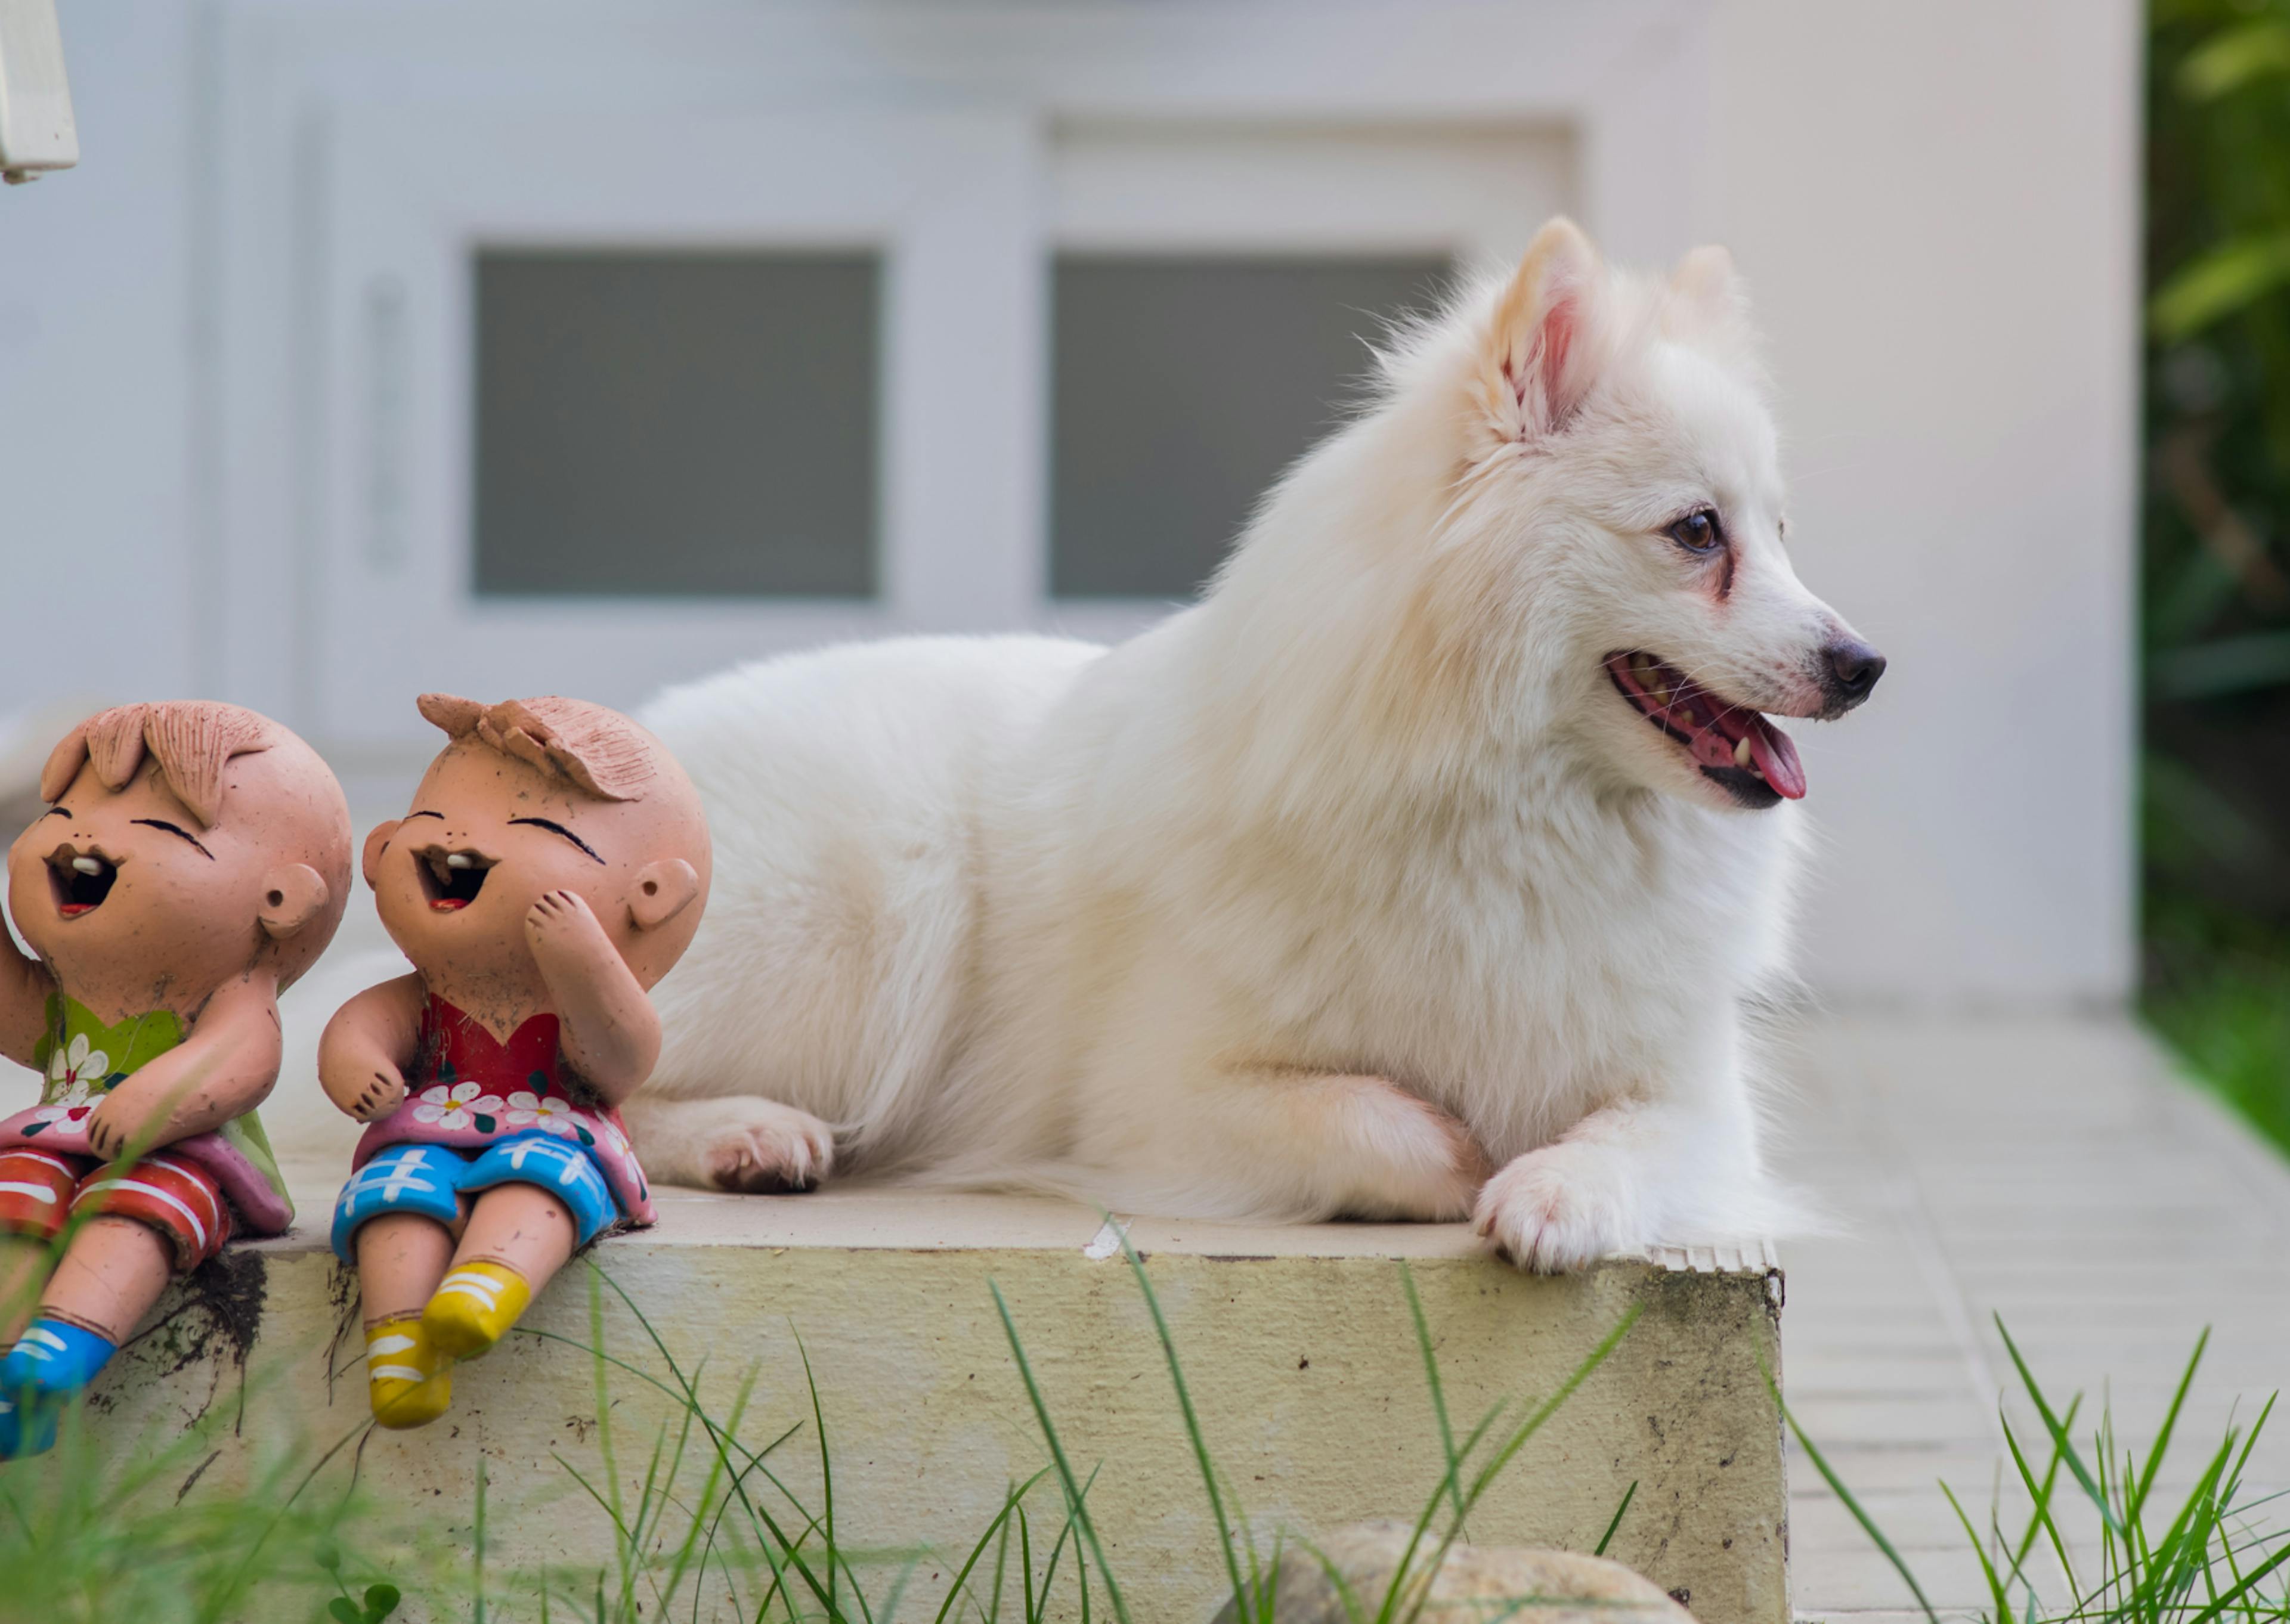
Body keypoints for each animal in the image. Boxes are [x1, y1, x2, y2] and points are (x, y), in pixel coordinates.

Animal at [623, 222, 1877, 1273]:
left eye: (1780, 533)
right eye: (1698, 532)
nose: (1864, 664)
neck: (1522, 818)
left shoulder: (1701, 1103)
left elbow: (1628, 1135)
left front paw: (1559, 1190)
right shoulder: (1156, 1098)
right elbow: (1380, 1117)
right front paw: (1469, 1160)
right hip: (868, 915)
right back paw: (746, 1130)